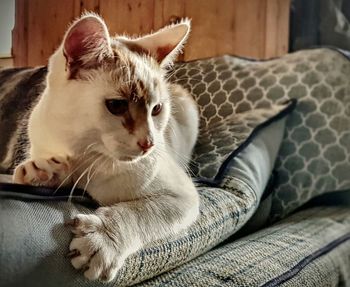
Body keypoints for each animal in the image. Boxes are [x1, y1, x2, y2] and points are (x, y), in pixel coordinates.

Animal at [10, 12, 200, 282]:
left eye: (156, 109)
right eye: (117, 106)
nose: (149, 143)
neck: (85, 152)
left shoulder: (182, 196)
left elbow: (139, 213)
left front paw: (103, 241)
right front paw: (42, 172)